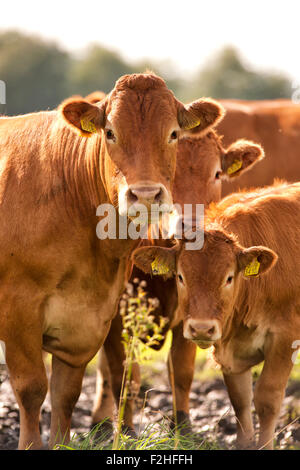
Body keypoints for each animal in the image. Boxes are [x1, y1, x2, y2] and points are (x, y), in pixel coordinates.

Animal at [0, 72, 225, 448]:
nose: (146, 194)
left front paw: (61, 441)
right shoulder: (20, 310)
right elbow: (31, 389)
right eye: (110, 132)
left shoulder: (90, 316)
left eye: (173, 134)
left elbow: (66, 393)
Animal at [92, 126, 264, 436]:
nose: (191, 224)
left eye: (217, 173)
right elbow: (125, 374)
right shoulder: (116, 318)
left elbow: (182, 372)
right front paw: (126, 430)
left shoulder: (192, 312)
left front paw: (183, 427)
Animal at [132, 182, 300, 450]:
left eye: (229, 278)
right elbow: (240, 399)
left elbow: (267, 398)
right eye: (180, 276)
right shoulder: (230, 352)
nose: (201, 329)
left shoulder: (285, 337)